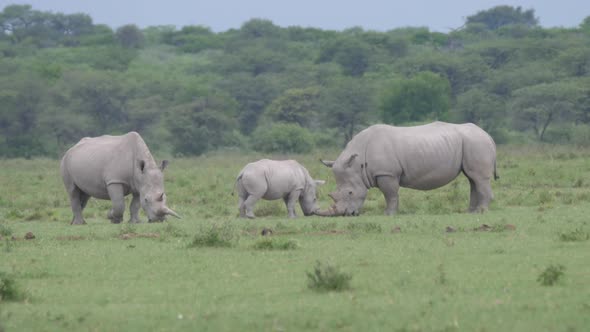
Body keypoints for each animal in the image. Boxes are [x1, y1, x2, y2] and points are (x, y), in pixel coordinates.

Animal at [316, 123, 498, 217]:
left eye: (350, 193)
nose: (346, 214)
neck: (358, 163)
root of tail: (488, 135)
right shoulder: (385, 173)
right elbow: (391, 194)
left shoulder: (387, 173)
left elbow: (390, 194)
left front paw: (389, 214)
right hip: (472, 143)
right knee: (472, 178)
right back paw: (471, 212)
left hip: (476, 143)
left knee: (478, 179)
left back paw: (481, 212)